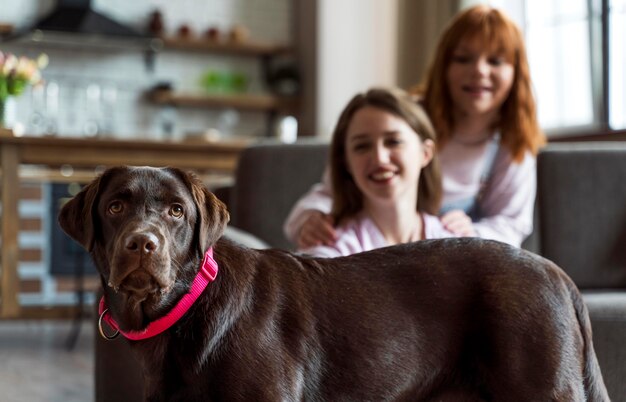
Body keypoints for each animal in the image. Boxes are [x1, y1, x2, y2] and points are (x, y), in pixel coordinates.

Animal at [57, 165, 604, 400]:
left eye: (175, 212)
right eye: (115, 206)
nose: (142, 244)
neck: (188, 310)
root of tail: (555, 272)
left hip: (543, 387)